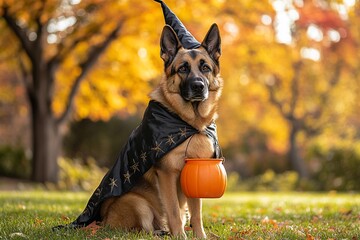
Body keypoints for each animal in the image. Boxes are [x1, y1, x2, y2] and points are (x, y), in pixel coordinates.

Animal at [100, 23, 221, 238]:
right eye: (183, 68)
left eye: (205, 67)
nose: (198, 86)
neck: (189, 125)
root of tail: (102, 220)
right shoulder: (167, 174)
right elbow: (173, 211)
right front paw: (180, 236)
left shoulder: (193, 177)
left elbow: (196, 213)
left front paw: (200, 236)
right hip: (138, 203)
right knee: (144, 230)